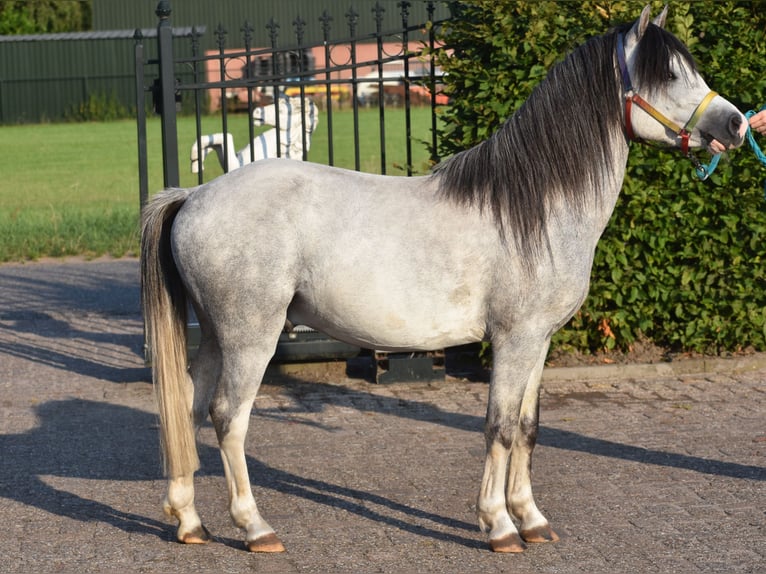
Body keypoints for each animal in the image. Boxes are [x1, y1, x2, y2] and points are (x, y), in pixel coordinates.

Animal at [190, 96, 319, 173]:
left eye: (281, 111)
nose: (256, 111)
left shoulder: (235, 165)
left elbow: (225, 136)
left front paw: (194, 158)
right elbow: (215, 141)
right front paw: (197, 162)